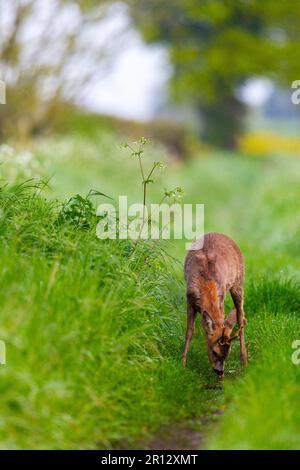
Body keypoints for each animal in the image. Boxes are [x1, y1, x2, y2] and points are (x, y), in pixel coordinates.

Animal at [182, 232, 247, 378]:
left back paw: (244, 360)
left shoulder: (221, 298)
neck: (206, 281)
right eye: (214, 352)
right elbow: (189, 332)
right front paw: (182, 363)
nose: (220, 371)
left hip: (238, 282)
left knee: (240, 316)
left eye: (227, 354)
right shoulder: (189, 299)